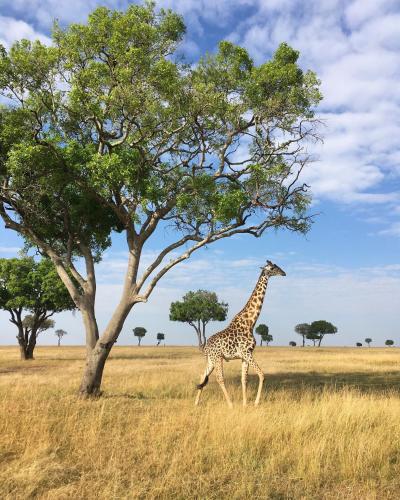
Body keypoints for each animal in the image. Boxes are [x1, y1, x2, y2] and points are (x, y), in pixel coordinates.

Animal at [194, 260, 286, 407]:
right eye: (272, 268)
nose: (284, 273)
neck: (250, 322)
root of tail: (206, 347)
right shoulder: (246, 352)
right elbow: (262, 375)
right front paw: (255, 403)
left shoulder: (245, 355)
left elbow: (244, 379)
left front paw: (245, 404)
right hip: (217, 358)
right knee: (220, 378)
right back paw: (230, 404)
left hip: (211, 359)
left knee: (203, 376)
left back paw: (196, 403)